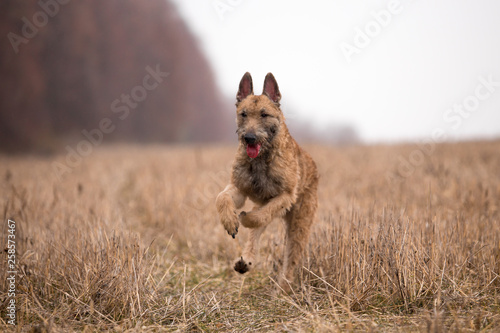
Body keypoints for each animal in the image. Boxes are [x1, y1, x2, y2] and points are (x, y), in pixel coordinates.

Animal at [216, 72, 318, 290]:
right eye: (243, 114)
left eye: (264, 115)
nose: (249, 137)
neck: (262, 159)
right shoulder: (239, 188)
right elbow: (222, 198)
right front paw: (230, 221)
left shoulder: (285, 196)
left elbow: (260, 215)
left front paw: (244, 218)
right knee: (256, 233)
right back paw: (246, 261)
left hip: (299, 224)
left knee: (291, 258)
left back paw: (283, 288)